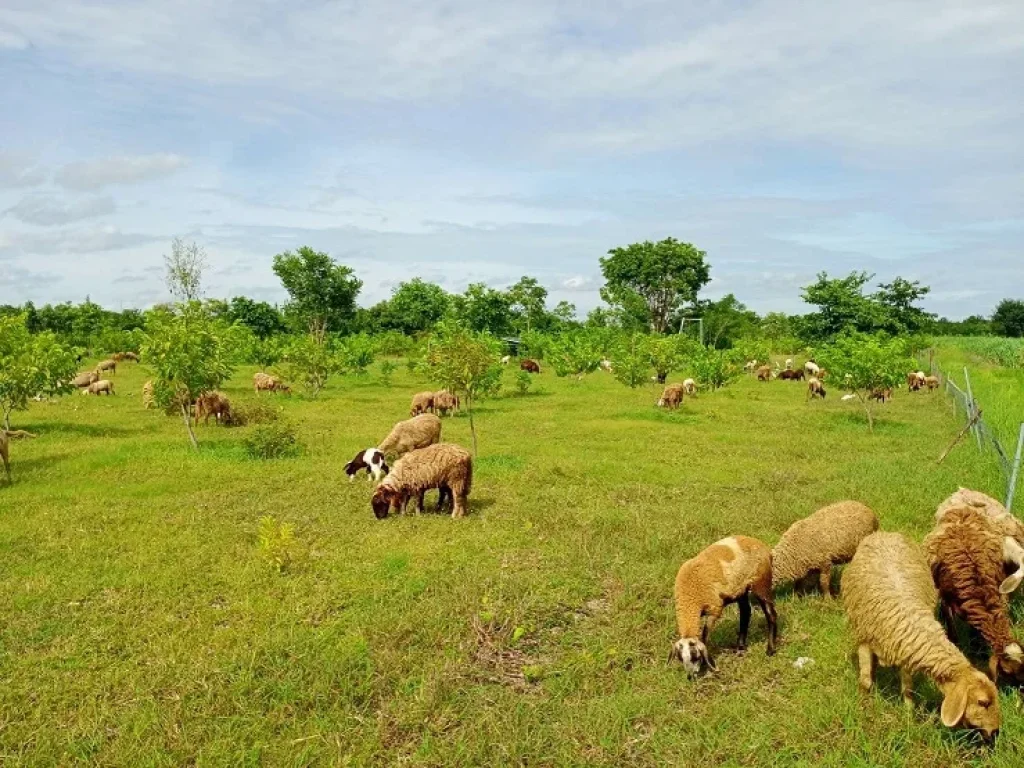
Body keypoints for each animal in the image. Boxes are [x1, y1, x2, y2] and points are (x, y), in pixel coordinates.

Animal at [667, 536, 778, 675]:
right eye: (681, 659)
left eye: (695, 657)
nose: (691, 676)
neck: (691, 601)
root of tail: (764, 547)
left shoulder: (714, 609)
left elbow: (705, 634)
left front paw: (706, 664)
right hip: (741, 589)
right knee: (746, 611)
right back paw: (740, 647)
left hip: (761, 582)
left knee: (770, 613)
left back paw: (770, 649)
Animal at [843, 532, 1003, 741]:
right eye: (983, 702)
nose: (995, 733)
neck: (907, 618)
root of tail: (885, 533)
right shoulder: (864, 639)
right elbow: (864, 681)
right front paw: (863, 707)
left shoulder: (906, 651)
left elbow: (908, 689)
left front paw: (909, 717)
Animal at [925, 507, 1024, 684]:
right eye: (1006, 671)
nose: (1021, 688)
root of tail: (961, 510)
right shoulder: (947, 599)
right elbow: (952, 630)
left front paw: (979, 648)